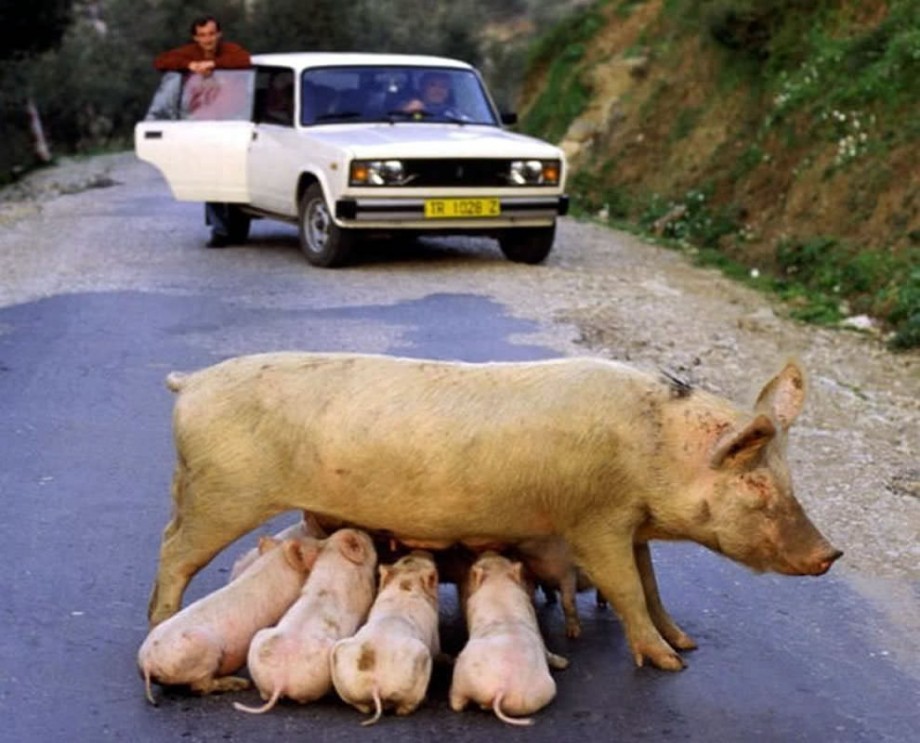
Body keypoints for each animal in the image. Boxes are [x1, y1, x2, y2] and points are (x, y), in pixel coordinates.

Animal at [149, 352, 842, 671]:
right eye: (757, 486)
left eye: (789, 478)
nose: (831, 554)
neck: (653, 450)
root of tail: (190, 383)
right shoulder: (593, 521)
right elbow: (624, 587)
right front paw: (669, 664)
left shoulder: (631, 525)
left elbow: (650, 584)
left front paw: (686, 641)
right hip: (222, 492)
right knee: (172, 548)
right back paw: (159, 620)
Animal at [330, 551, 441, 725]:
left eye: (403, 559)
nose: (422, 552)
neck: (405, 584)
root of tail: (374, 683)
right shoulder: (435, 638)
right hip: (421, 658)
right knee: (405, 706)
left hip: (339, 659)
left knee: (359, 705)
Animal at [449, 552, 568, 726]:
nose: (488, 551)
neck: (498, 583)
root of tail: (503, 687)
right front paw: (565, 663)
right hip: (540, 693)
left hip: (461, 676)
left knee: (457, 702)